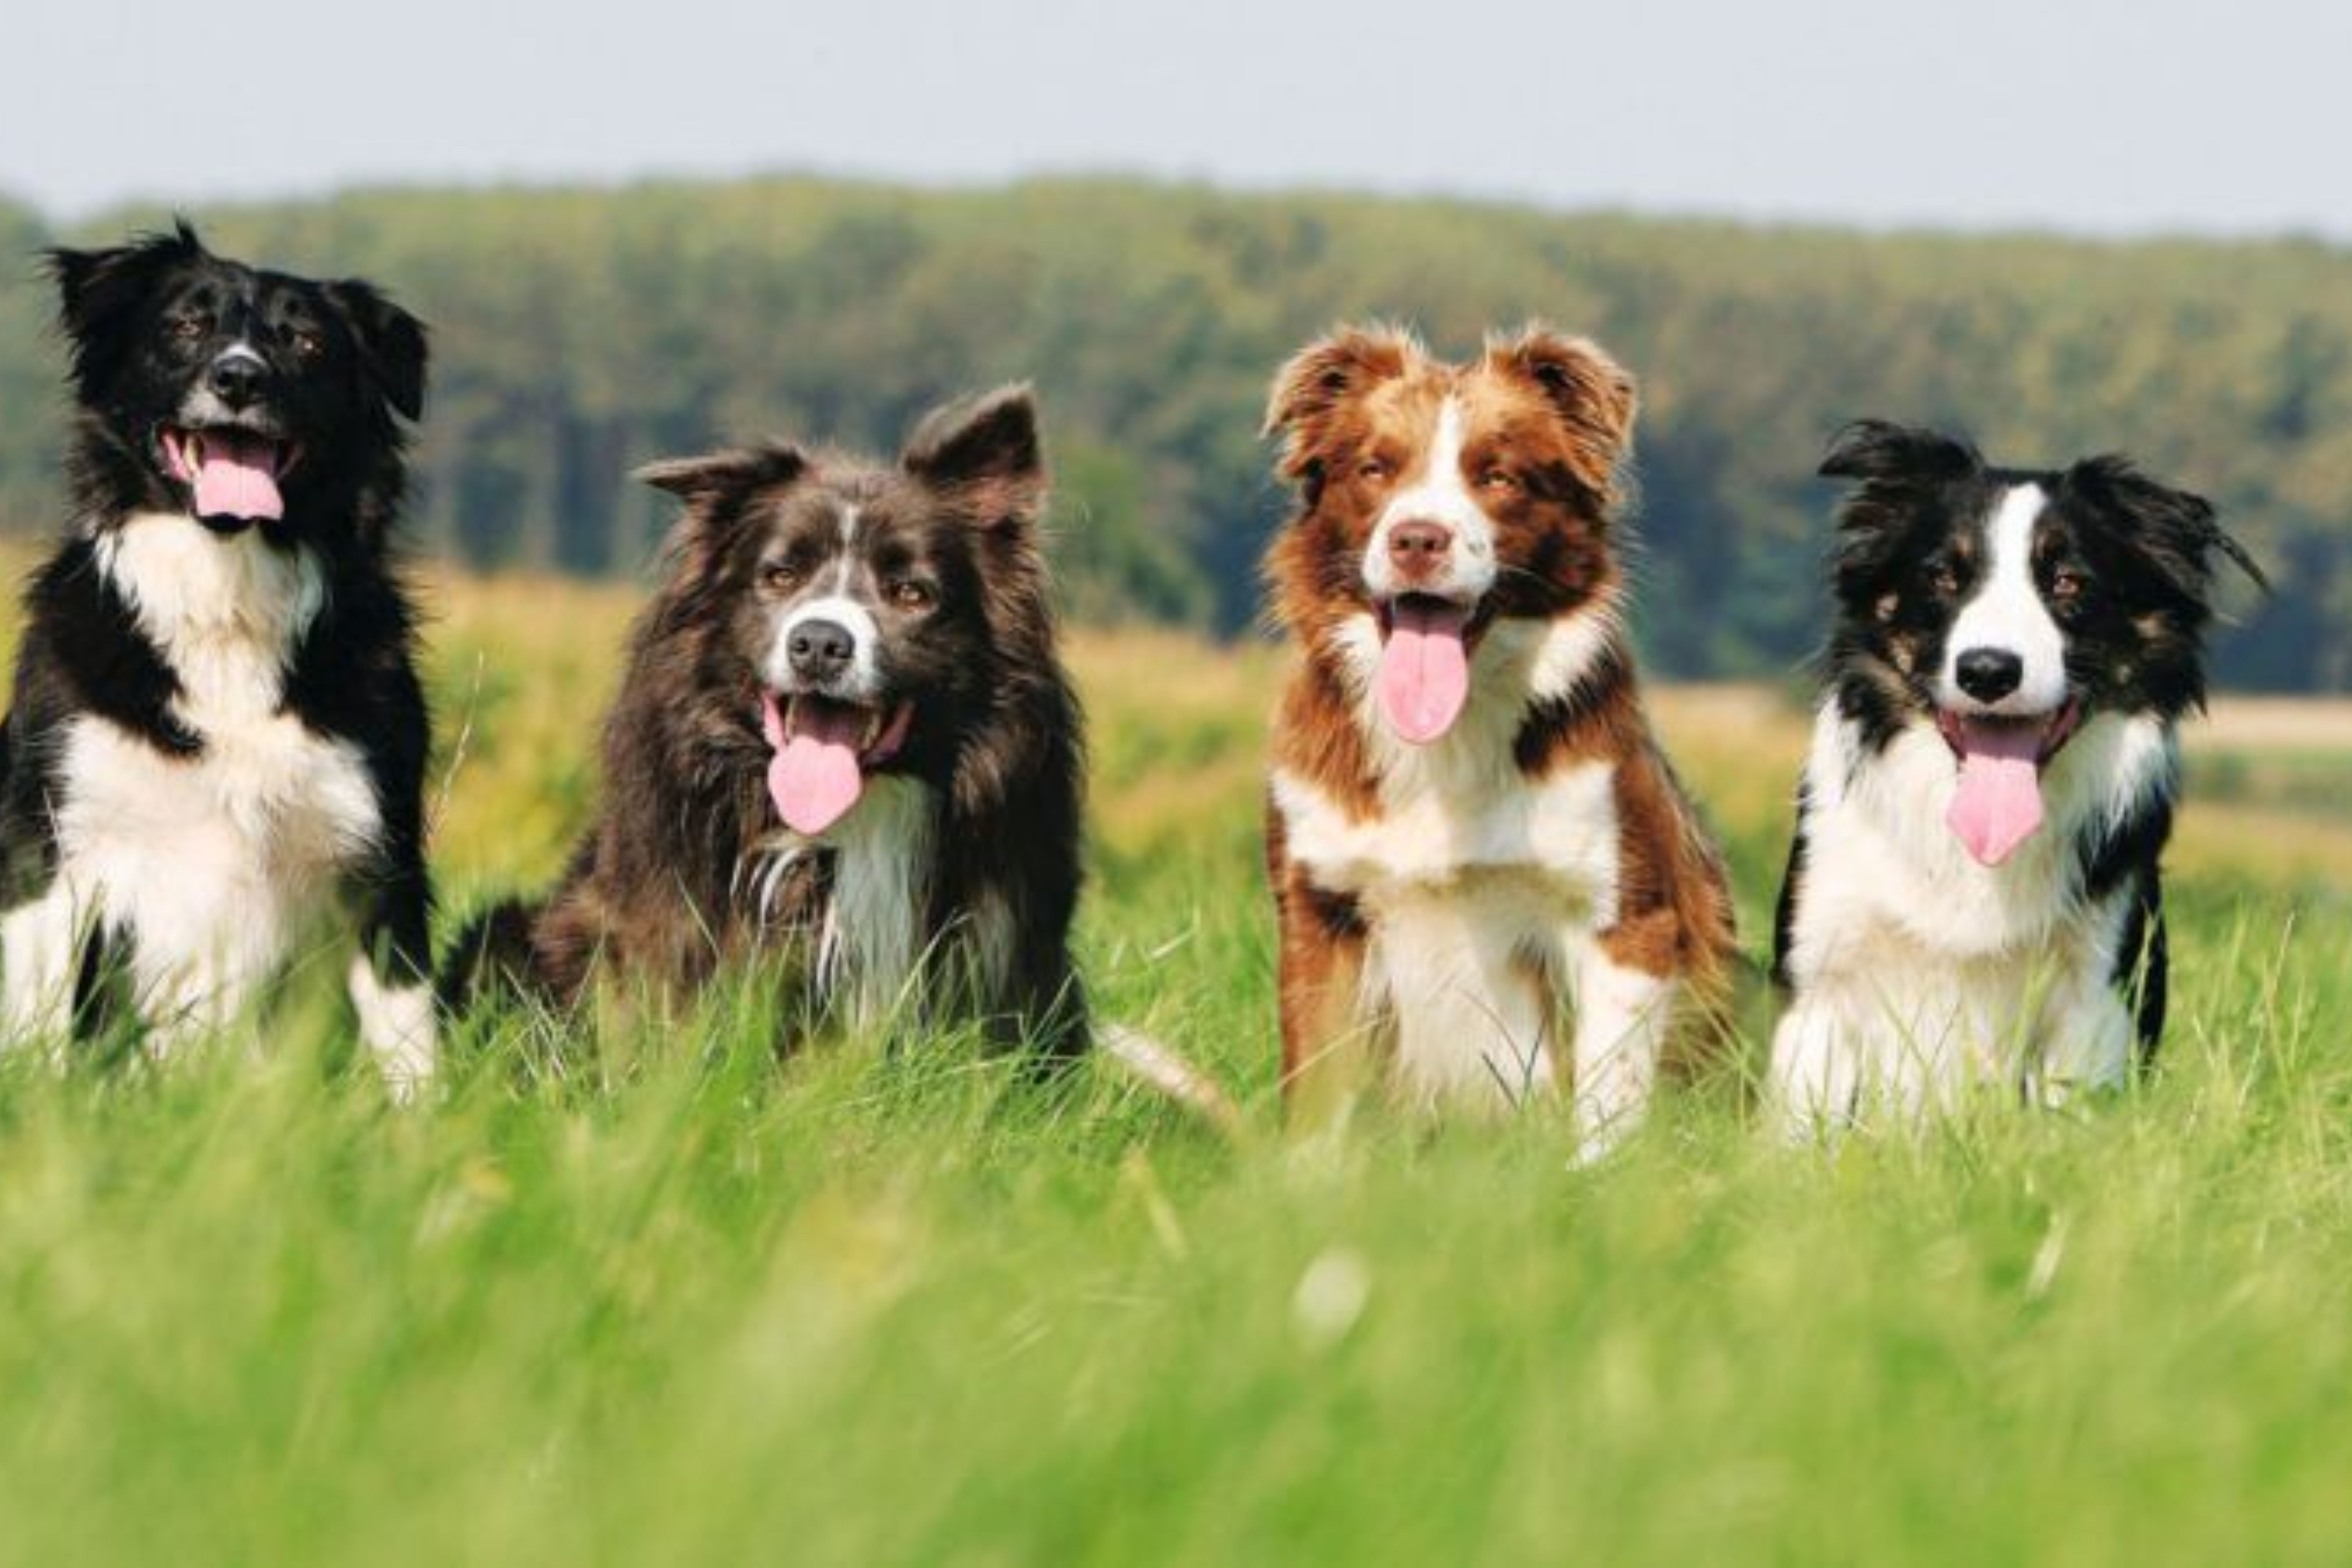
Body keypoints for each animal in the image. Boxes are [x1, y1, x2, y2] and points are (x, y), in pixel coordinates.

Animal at [3, 223, 442, 1091]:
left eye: (306, 341)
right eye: (185, 326)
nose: (238, 377)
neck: (227, 601)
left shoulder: (378, 855)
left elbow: (409, 1047)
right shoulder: (53, 843)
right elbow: (35, 1027)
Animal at [1261, 324, 1740, 1152]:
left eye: (1498, 477)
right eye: (1376, 468)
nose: (1418, 540)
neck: (1447, 740)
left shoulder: (1627, 913)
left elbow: (1605, 1101)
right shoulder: (1321, 903)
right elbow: (1319, 1093)